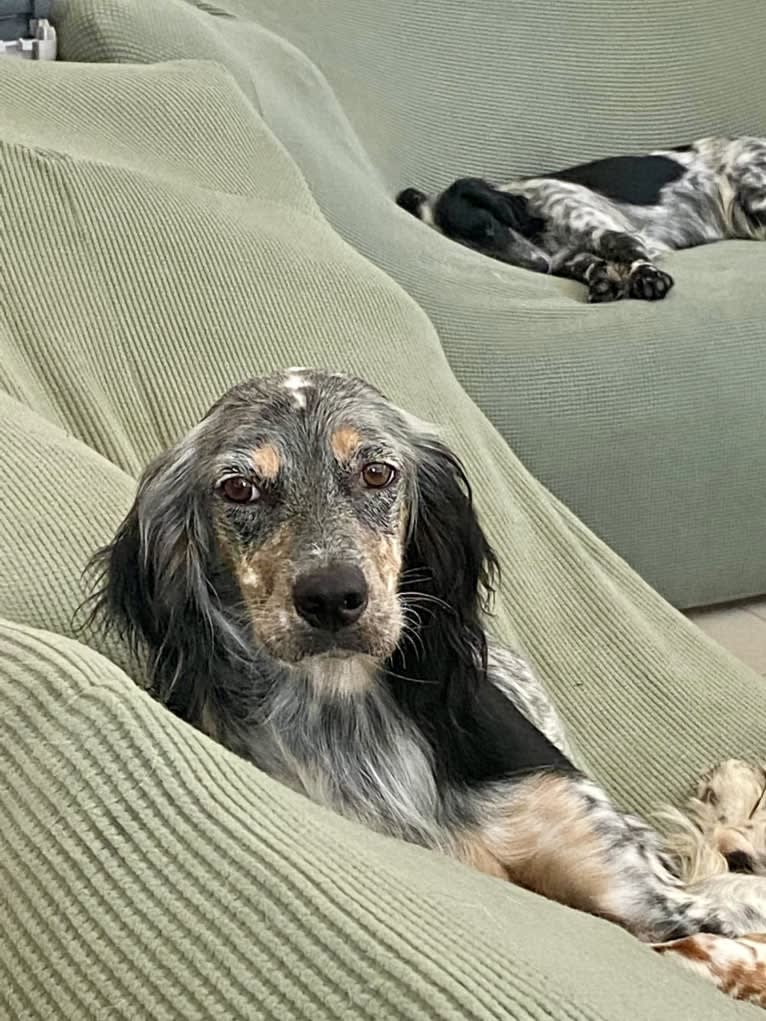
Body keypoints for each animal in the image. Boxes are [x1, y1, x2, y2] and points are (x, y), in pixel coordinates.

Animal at [89, 367, 766, 1004]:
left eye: (377, 473)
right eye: (238, 488)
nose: (332, 597)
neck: (348, 714)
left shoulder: (634, 883)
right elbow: (712, 933)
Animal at [396, 135, 766, 302]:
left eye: (488, 228)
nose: (540, 267)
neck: (545, 235)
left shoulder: (606, 230)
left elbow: (629, 253)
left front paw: (646, 278)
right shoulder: (569, 257)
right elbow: (590, 266)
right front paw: (604, 281)